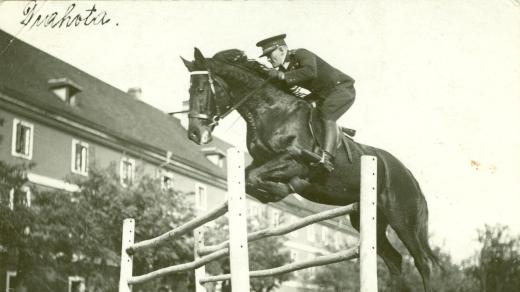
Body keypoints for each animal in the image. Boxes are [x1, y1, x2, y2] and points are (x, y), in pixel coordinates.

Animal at [181, 48, 436, 292]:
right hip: (369, 218)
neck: (271, 112)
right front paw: (273, 193)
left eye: (202, 89)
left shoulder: (295, 161)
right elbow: (249, 178)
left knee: (423, 262)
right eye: (189, 90)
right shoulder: (261, 161)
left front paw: (285, 189)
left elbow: (257, 177)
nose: (194, 133)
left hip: (402, 220)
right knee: (394, 260)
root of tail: (411, 177)